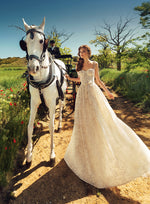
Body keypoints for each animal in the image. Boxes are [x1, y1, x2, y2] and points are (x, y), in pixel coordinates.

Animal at [19, 17, 66, 167]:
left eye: (41, 41)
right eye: (25, 43)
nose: (33, 68)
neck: (40, 80)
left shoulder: (52, 102)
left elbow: (51, 127)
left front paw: (52, 155)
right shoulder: (34, 102)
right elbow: (29, 127)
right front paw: (29, 156)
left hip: (61, 97)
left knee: (61, 109)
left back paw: (60, 125)